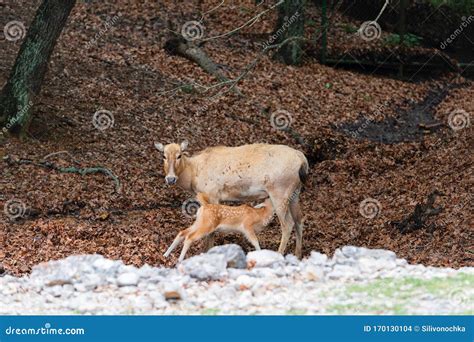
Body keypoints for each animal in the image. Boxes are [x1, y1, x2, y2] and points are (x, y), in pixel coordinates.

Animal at [156, 141, 310, 256]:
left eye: (179, 155)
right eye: (163, 156)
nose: (170, 179)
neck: (193, 175)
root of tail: (302, 159)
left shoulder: (213, 193)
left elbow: (211, 231)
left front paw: (206, 251)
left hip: (279, 191)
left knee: (288, 224)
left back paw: (279, 253)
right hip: (295, 192)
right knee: (299, 219)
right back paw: (298, 254)